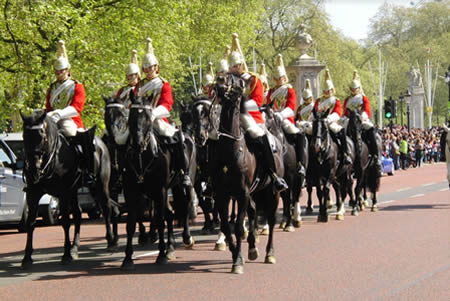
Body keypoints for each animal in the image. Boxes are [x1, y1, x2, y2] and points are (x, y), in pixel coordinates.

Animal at [20, 109, 118, 268]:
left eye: (41, 134)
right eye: (24, 135)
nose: (34, 169)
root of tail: (102, 143)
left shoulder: (63, 193)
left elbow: (65, 222)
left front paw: (65, 255)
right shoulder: (33, 194)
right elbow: (30, 223)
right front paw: (27, 257)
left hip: (99, 186)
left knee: (106, 209)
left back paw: (110, 241)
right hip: (76, 190)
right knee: (78, 214)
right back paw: (75, 248)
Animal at [211, 76, 282, 274]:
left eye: (235, 83)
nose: (219, 81)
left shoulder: (241, 194)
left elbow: (237, 228)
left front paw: (237, 262)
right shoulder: (222, 195)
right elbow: (227, 227)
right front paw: (237, 255)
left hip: (272, 192)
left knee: (271, 219)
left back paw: (270, 254)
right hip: (255, 192)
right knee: (253, 212)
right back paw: (252, 248)